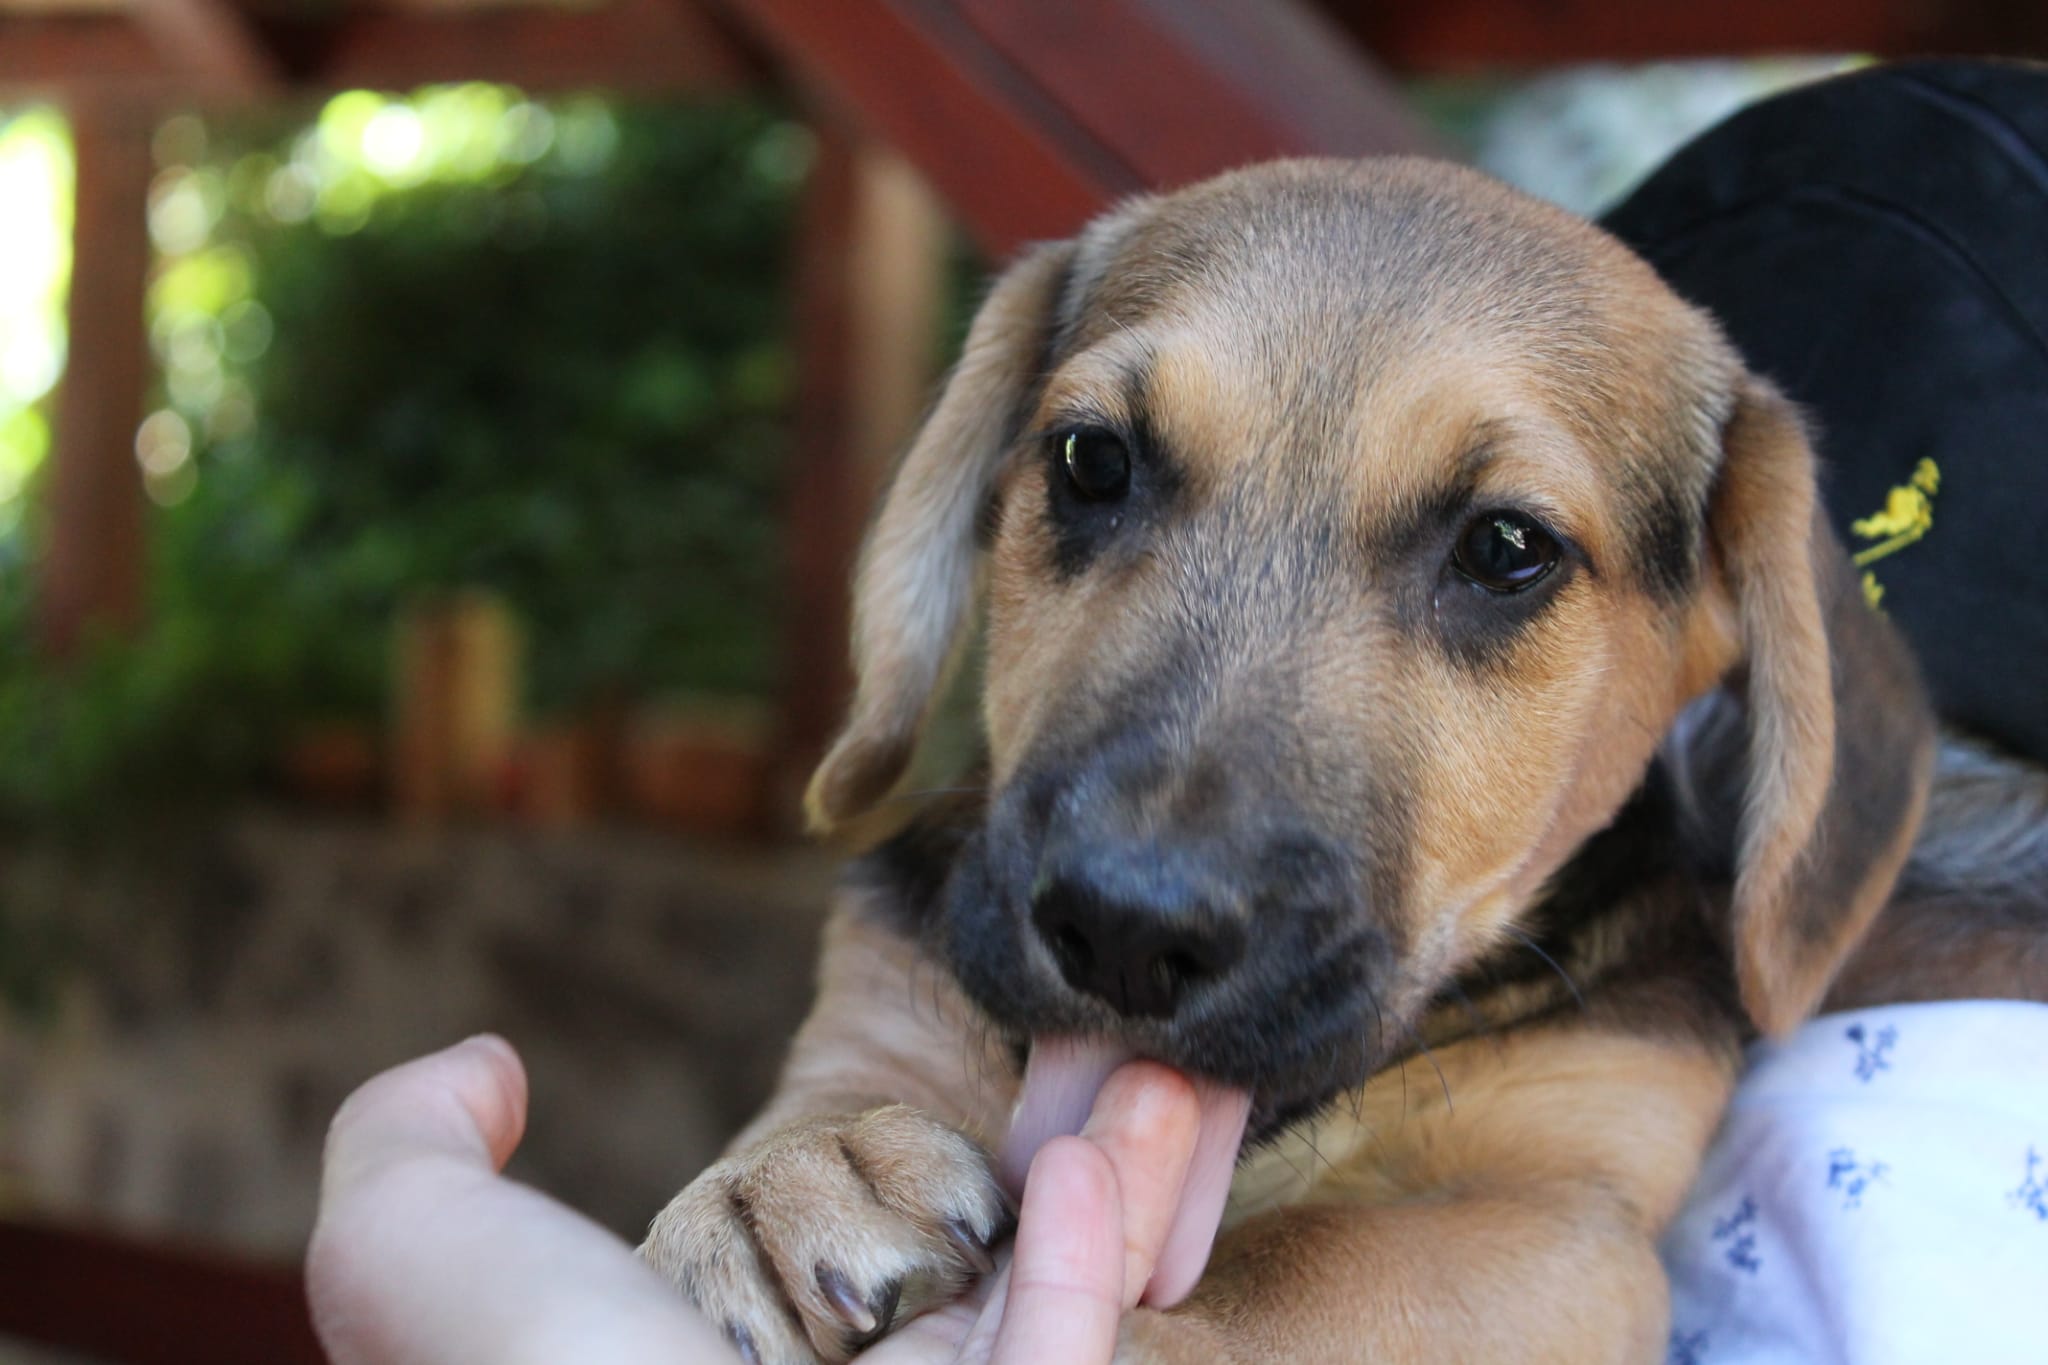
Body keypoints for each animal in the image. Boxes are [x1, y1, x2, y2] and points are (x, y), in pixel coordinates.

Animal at [638, 157, 2048, 1363]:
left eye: (1506, 549)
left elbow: (1320, 1267)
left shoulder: (1565, 1217)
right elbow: (844, 1081)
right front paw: (804, 1165)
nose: (1122, 932)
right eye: (1090, 460)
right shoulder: (886, 985)